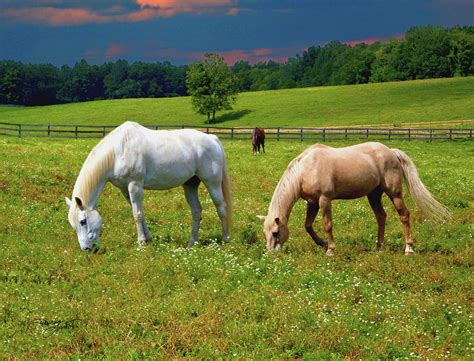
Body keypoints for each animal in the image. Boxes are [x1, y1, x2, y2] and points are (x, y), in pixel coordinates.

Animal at [65, 121, 232, 250]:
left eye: (83, 221)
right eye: (73, 225)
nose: (87, 249)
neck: (118, 151)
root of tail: (212, 138)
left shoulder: (135, 185)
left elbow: (137, 215)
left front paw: (141, 243)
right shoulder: (125, 189)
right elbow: (139, 213)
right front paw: (148, 239)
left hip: (212, 183)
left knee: (221, 207)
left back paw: (225, 240)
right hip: (190, 184)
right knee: (196, 211)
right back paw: (191, 243)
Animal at [260, 142, 448, 255]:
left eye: (276, 232)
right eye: (265, 233)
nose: (271, 253)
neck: (306, 168)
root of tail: (391, 152)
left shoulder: (324, 200)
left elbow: (327, 225)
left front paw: (330, 250)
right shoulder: (312, 202)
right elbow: (308, 225)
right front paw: (322, 243)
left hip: (394, 193)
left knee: (404, 216)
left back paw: (409, 248)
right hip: (374, 195)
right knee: (381, 217)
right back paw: (377, 247)